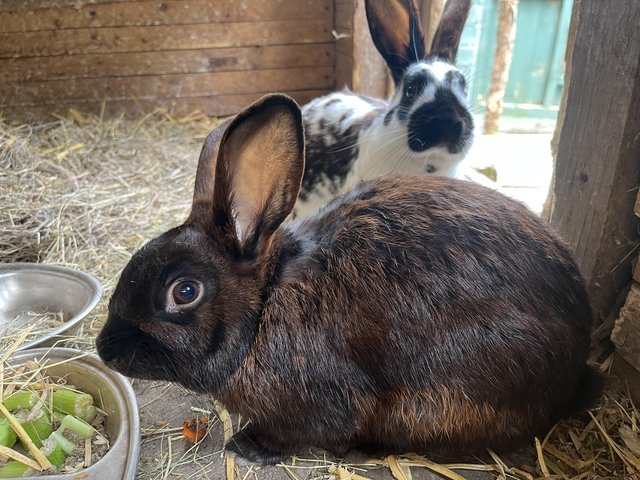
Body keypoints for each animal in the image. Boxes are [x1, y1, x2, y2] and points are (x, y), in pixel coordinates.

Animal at [97, 92, 604, 464]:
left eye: (184, 292)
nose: (106, 349)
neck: (263, 305)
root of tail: (573, 373)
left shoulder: (319, 401)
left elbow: (299, 431)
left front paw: (247, 448)